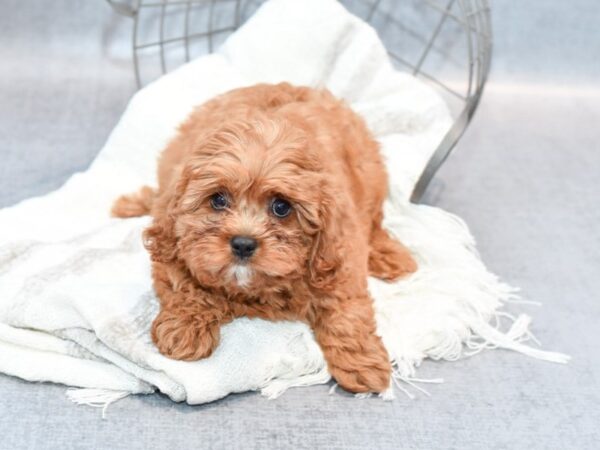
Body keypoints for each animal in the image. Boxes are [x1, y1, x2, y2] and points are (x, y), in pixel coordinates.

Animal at [115, 82, 420, 392]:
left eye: (281, 207)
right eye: (218, 200)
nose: (243, 243)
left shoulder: (341, 255)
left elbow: (347, 310)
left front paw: (362, 364)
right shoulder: (172, 251)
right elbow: (185, 289)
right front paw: (183, 329)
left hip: (371, 176)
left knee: (375, 224)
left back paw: (390, 256)